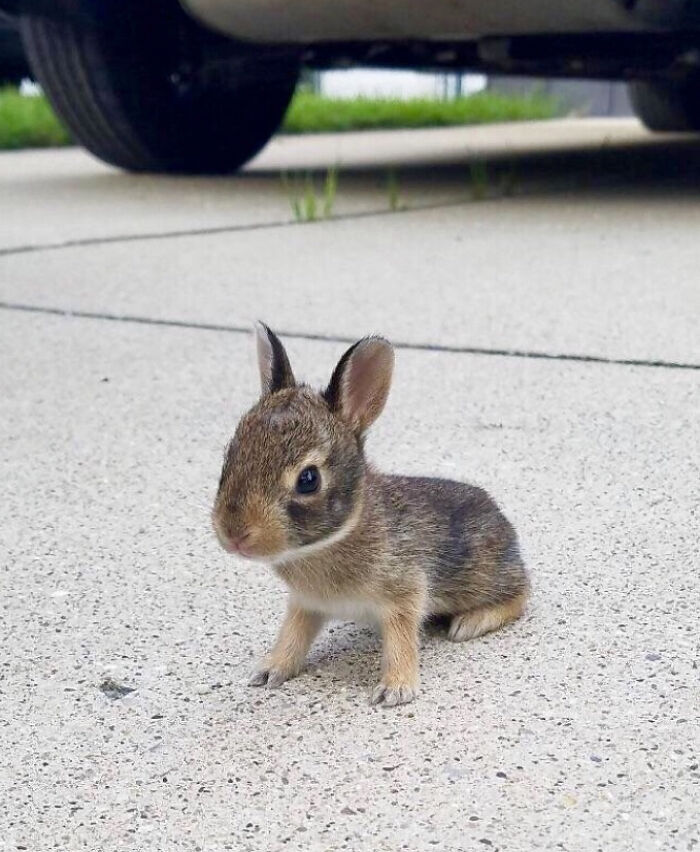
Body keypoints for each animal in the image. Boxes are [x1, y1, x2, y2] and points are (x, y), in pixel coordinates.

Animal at [212, 323, 530, 707]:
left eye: (308, 479)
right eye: (230, 456)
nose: (234, 534)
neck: (333, 539)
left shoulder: (404, 593)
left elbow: (401, 639)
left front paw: (395, 689)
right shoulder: (305, 604)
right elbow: (293, 634)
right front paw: (270, 669)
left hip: (482, 576)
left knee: (520, 594)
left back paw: (470, 623)